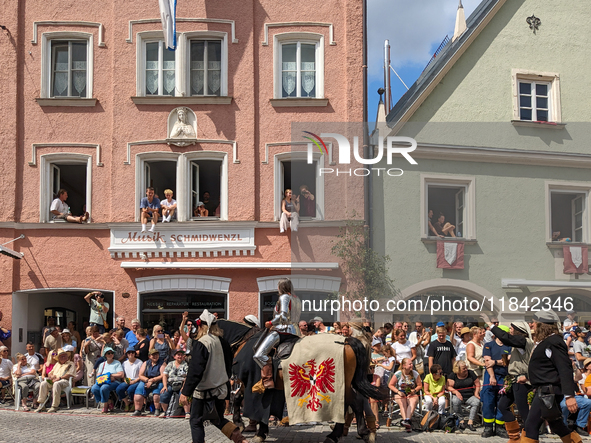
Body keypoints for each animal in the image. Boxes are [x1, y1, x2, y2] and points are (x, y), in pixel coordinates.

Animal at [219, 320, 388, 443]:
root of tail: (347, 340)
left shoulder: (249, 382)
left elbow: (252, 406)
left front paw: (253, 431)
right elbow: (239, 399)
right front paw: (245, 426)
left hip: (340, 384)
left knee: (353, 404)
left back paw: (345, 434)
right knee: (353, 404)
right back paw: (352, 433)